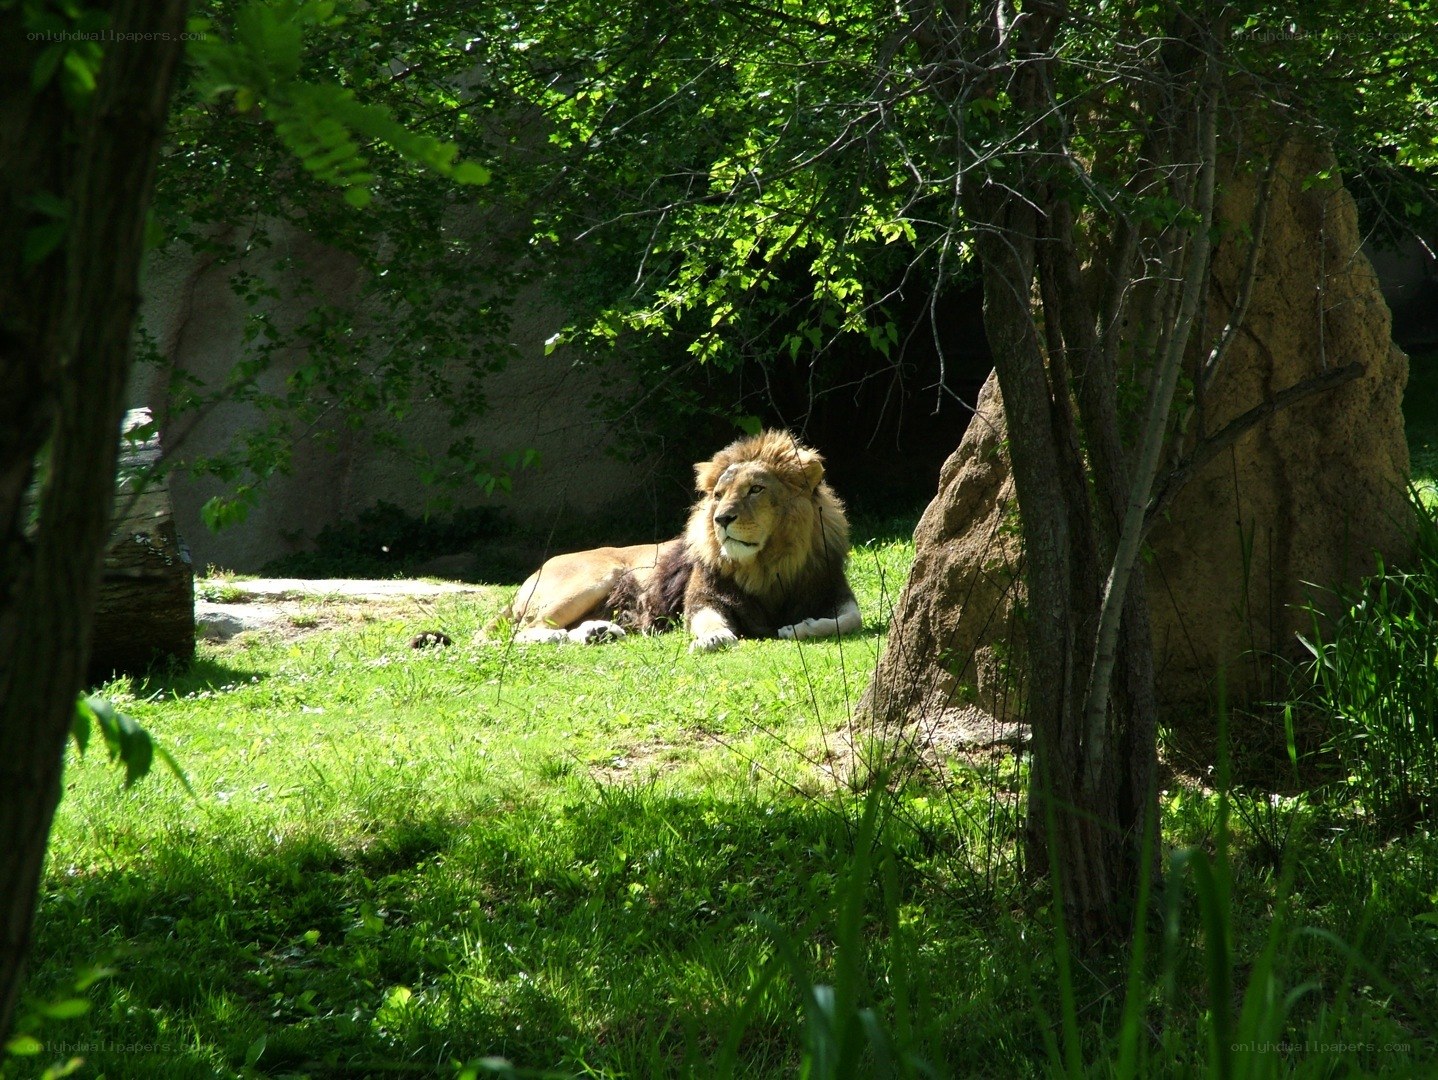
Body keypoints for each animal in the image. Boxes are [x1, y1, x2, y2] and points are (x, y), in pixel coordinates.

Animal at [494, 430, 861, 652]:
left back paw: (598, 632)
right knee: (520, 631)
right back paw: (558, 634)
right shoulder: (703, 596)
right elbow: (705, 619)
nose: (721, 519)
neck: (768, 564)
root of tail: (534, 573)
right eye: (718, 495)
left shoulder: (832, 588)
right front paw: (714, 637)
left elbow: (850, 619)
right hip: (594, 578)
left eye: (755, 489)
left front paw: (802, 627)